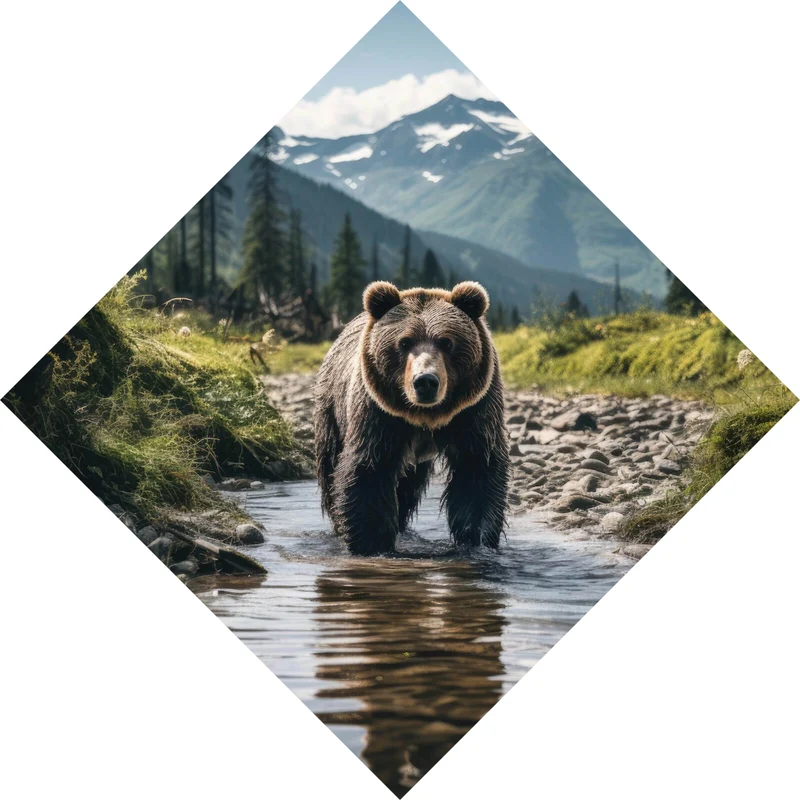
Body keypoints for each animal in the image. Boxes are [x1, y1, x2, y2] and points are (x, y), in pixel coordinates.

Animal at [313, 280, 509, 556]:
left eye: (447, 342)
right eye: (404, 342)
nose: (425, 381)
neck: (425, 417)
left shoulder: (475, 410)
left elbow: (477, 470)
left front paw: (477, 541)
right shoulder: (378, 414)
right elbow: (369, 470)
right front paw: (371, 544)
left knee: (407, 486)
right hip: (332, 408)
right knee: (330, 465)